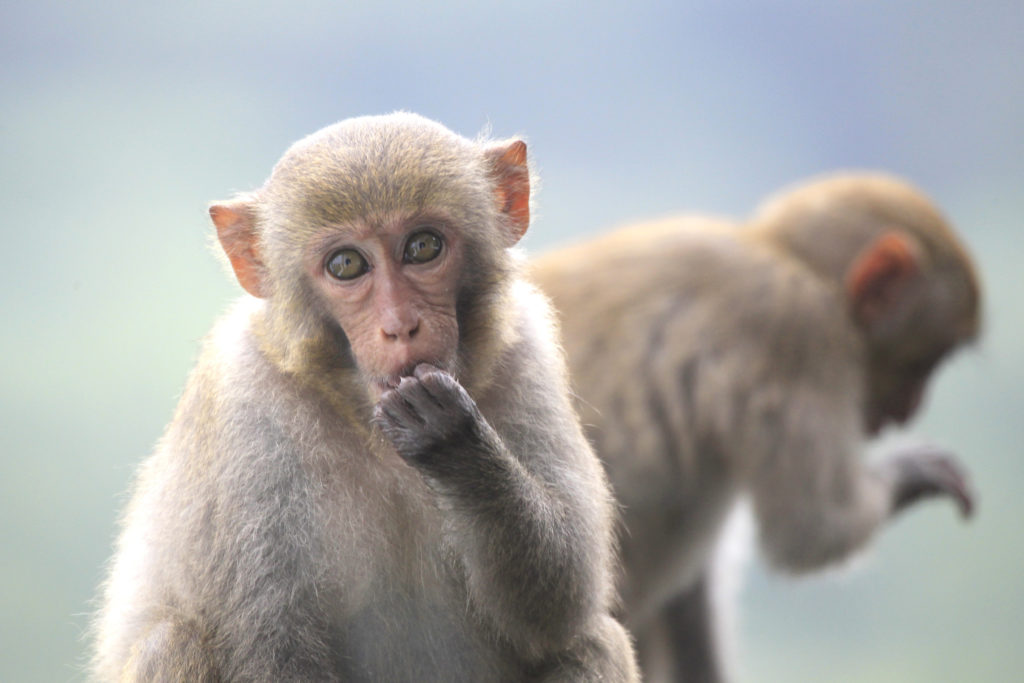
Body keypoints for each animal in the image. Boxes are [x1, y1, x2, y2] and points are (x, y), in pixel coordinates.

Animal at [96, 113, 638, 683]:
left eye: (422, 247)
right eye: (347, 265)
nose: (400, 326)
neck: (362, 416)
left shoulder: (527, 351)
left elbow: (561, 601)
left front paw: (454, 441)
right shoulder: (243, 402)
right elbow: (272, 645)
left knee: (592, 640)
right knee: (175, 640)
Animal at [532, 175, 978, 683]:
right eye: (924, 362)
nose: (911, 409)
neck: (779, 253)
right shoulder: (801, 333)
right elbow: (814, 530)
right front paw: (915, 474)